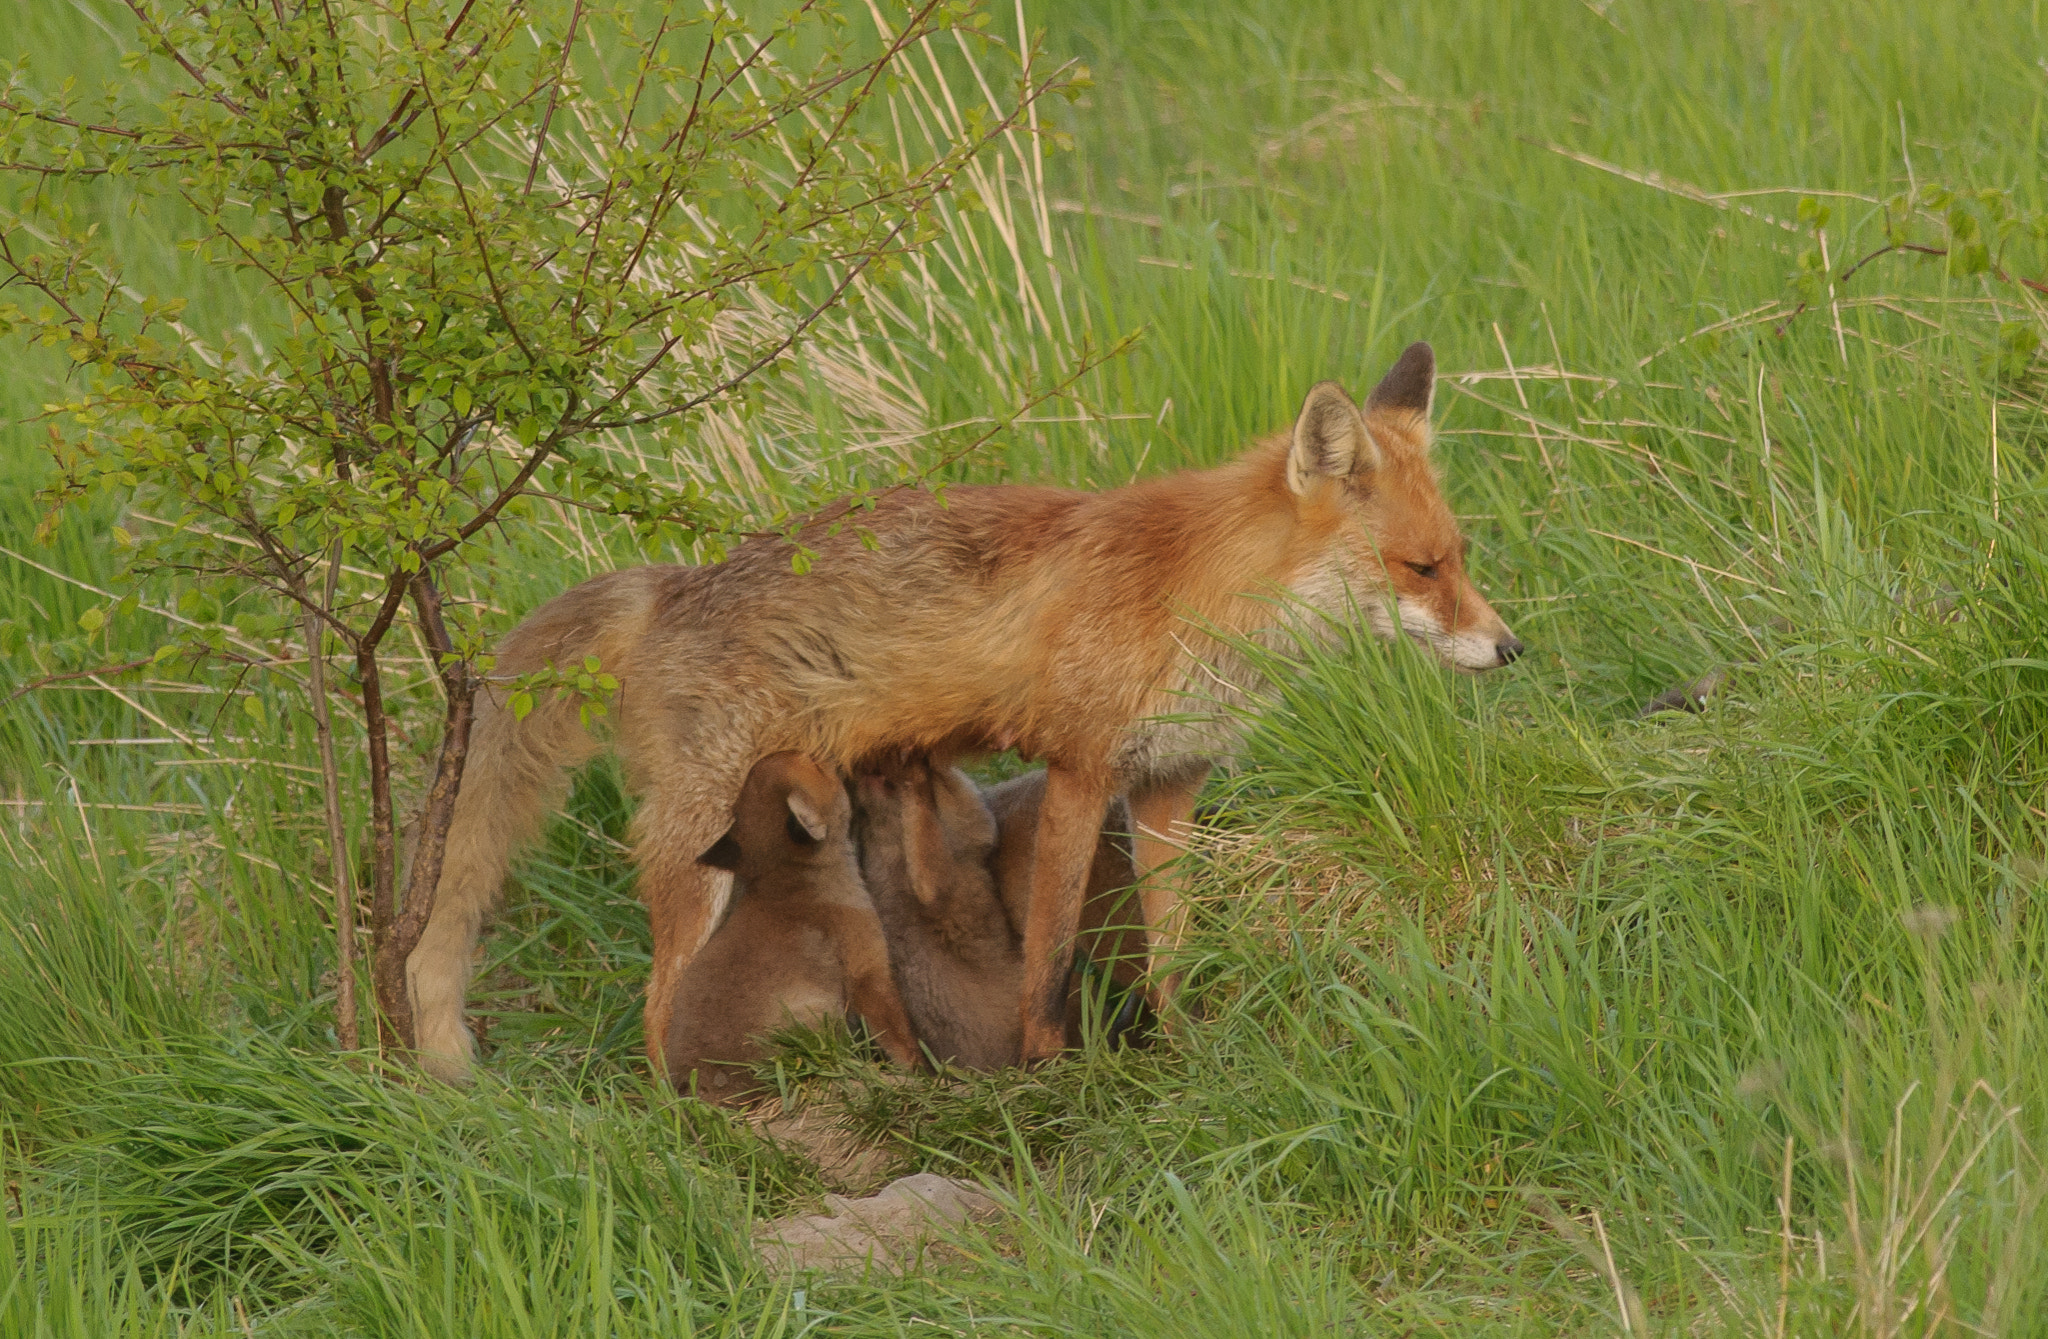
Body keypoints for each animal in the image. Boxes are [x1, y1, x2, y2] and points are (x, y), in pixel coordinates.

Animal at [662, 752, 923, 1105]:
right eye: (813, 763)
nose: (830, 753)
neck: (790, 881)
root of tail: (700, 1090)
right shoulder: (868, 971)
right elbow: (898, 1035)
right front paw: (925, 1073)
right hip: (817, 1016)